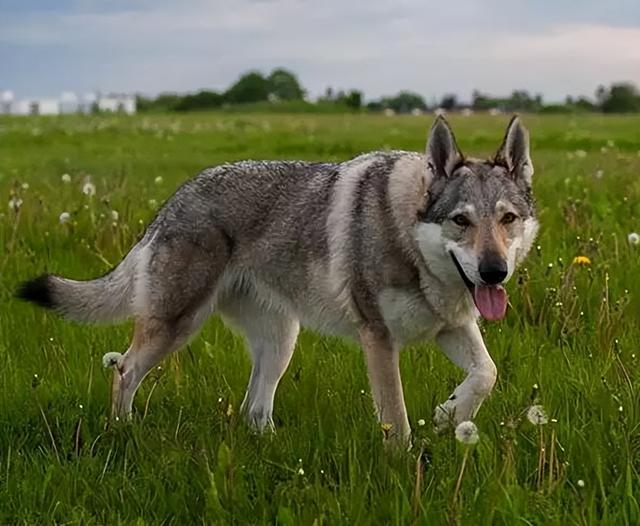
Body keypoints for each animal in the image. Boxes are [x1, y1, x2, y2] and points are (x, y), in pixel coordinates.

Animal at [17, 115, 536, 446]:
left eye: (507, 219)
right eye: (461, 221)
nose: (495, 272)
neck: (408, 239)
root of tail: (174, 199)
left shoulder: (451, 326)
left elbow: (486, 374)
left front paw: (451, 415)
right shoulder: (379, 339)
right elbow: (397, 420)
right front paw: (405, 467)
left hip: (280, 343)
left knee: (253, 409)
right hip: (178, 326)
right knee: (124, 371)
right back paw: (122, 432)